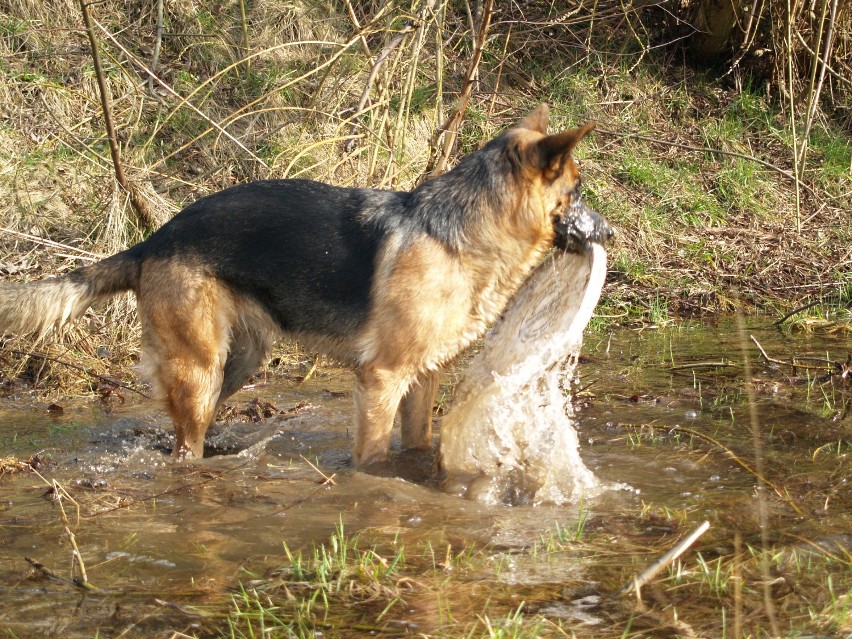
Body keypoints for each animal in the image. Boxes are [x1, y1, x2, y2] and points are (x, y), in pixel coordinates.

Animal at [0, 104, 612, 464]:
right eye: (577, 191)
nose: (610, 232)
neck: (459, 233)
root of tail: (154, 240)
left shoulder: (423, 377)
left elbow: (417, 442)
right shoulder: (381, 380)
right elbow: (374, 457)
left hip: (237, 363)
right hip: (200, 368)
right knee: (184, 447)